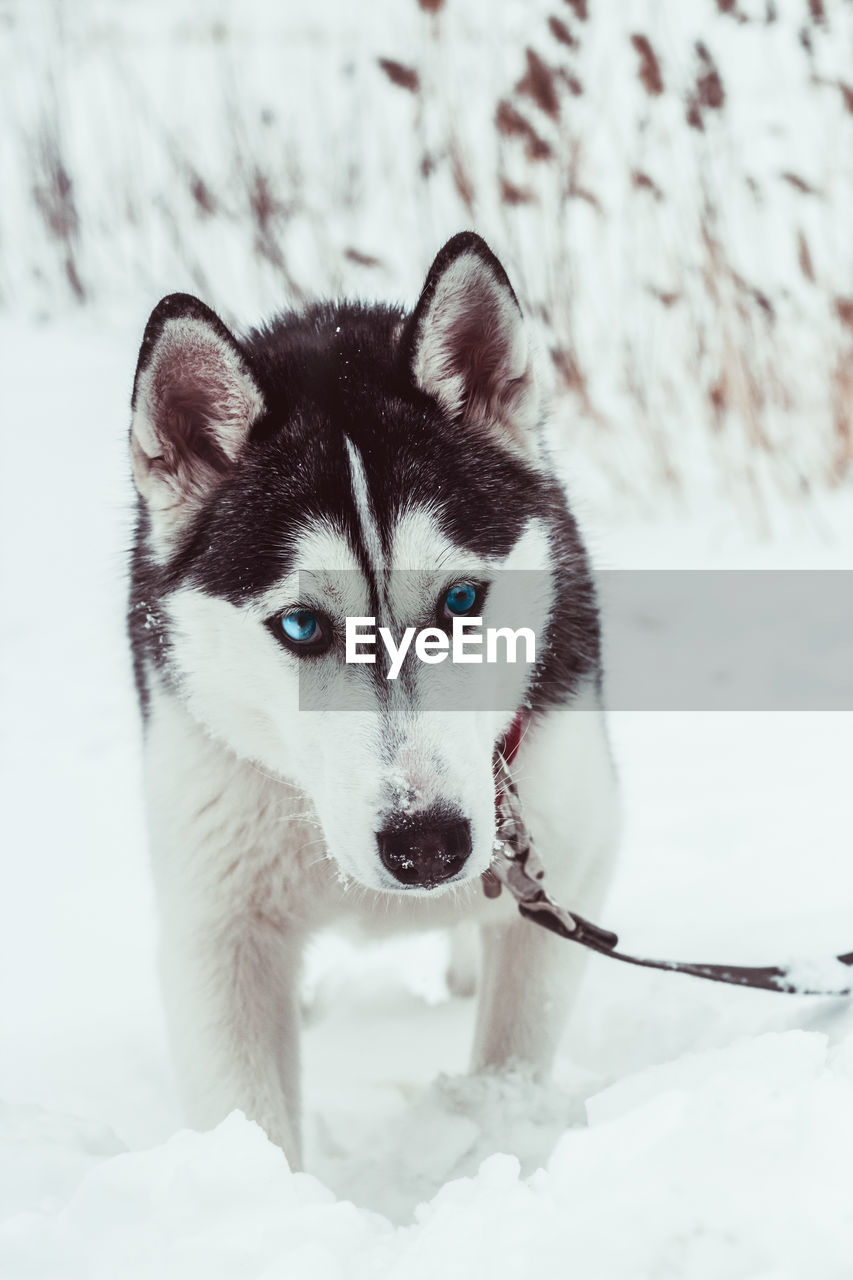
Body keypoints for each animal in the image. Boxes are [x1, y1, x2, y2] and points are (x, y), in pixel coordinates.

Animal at [128, 232, 617, 1172]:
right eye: (301, 626)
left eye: (462, 600)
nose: (426, 844)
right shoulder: (217, 925)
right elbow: (248, 1122)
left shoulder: (565, 865)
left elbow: (508, 1056)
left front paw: (486, 1142)